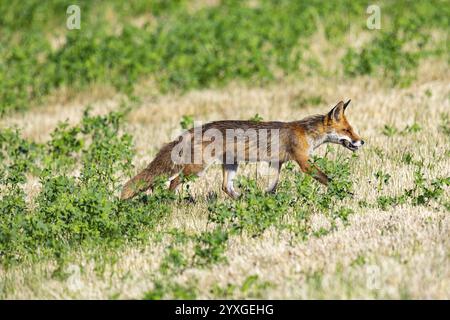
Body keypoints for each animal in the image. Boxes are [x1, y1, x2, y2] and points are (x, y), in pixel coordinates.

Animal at [121, 100, 364, 200]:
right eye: (347, 130)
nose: (361, 141)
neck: (306, 133)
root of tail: (194, 129)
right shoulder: (303, 162)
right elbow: (327, 178)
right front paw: (346, 194)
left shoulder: (277, 163)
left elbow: (272, 187)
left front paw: (265, 199)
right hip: (197, 168)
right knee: (173, 182)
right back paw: (169, 202)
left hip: (230, 164)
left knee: (225, 187)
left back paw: (242, 199)